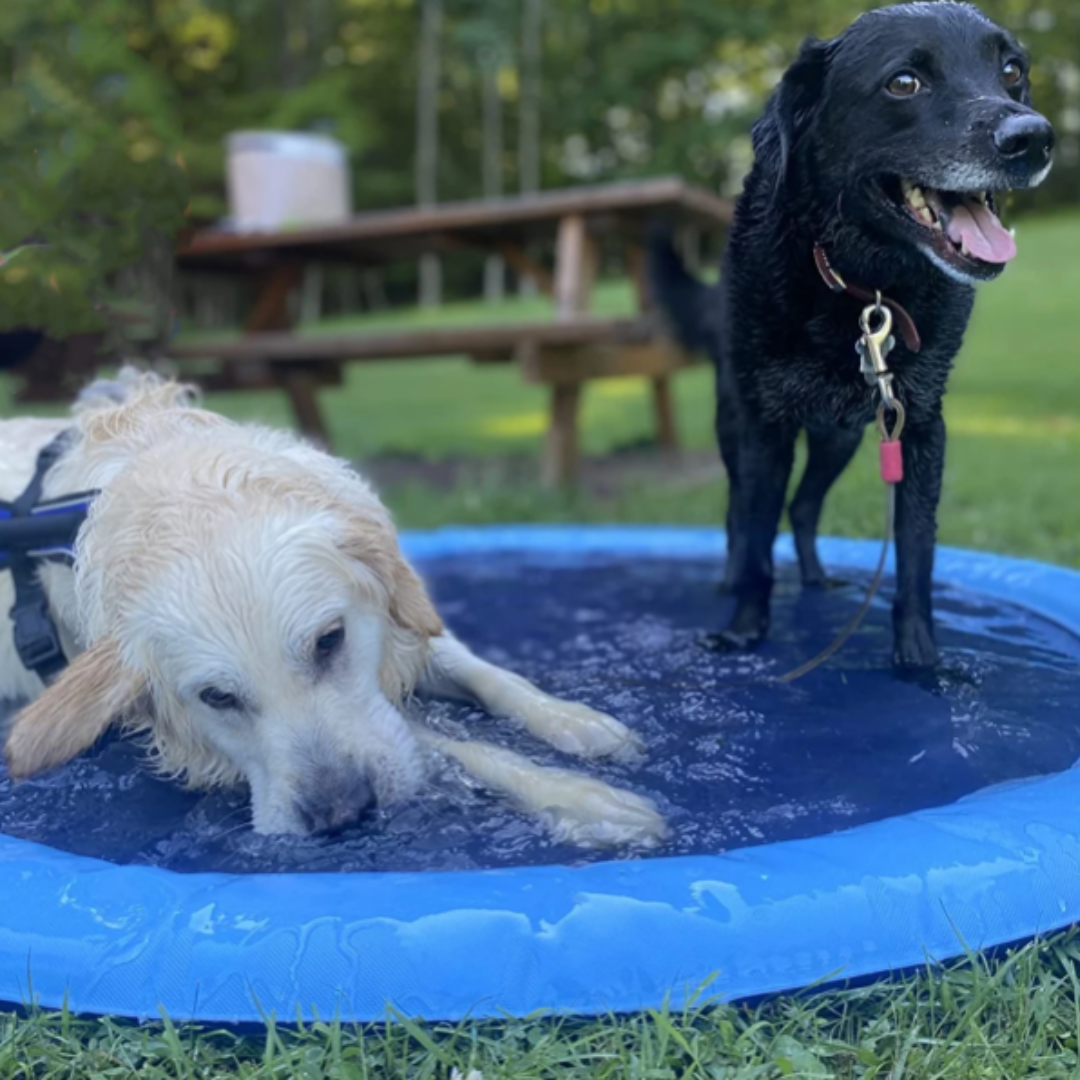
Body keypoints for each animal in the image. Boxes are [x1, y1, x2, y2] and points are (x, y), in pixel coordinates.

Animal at [0, 375, 660, 846]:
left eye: (329, 640)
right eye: (216, 697)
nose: (341, 812)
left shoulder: (397, 621)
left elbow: (489, 675)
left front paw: (575, 722)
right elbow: (458, 747)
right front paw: (583, 799)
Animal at [648, 2, 1054, 665]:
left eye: (1012, 70)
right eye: (904, 82)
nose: (1034, 138)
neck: (865, 287)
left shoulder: (920, 426)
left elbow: (916, 551)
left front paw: (920, 660)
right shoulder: (764, 427)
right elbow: (755, 535)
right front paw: (745, 631)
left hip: (838, 437)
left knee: (804, 505)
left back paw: (816, 577)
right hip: (736, 421)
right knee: (740, 514)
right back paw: (732, 584)